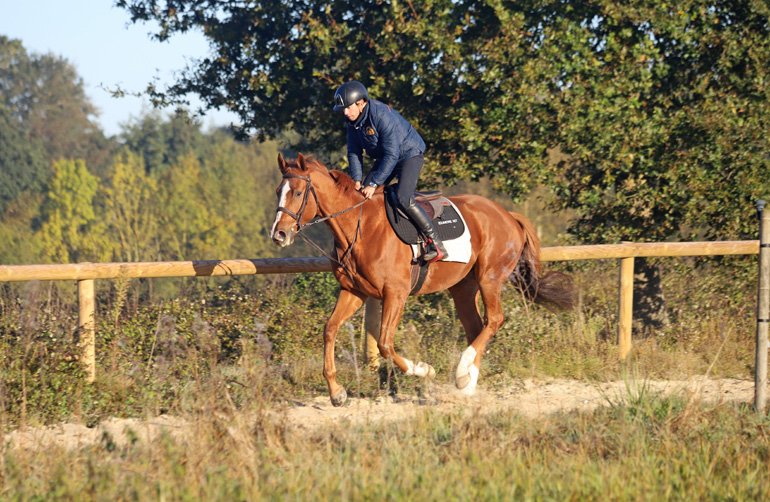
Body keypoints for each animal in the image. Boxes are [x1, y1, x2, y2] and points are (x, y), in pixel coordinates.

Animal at [271, 153, 575, 406]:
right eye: (278, 192)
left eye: (298, 192)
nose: (279, 235)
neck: (359, 227)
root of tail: (508, 215)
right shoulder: (353, 291)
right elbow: (330, 329)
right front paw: (337, 393)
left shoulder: (395, 293)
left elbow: (384, 343)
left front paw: (424, 371)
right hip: (463, 287)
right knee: (476, 326)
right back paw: (467, 383)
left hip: (489, 276)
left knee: (494, 320)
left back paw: (462, 372)